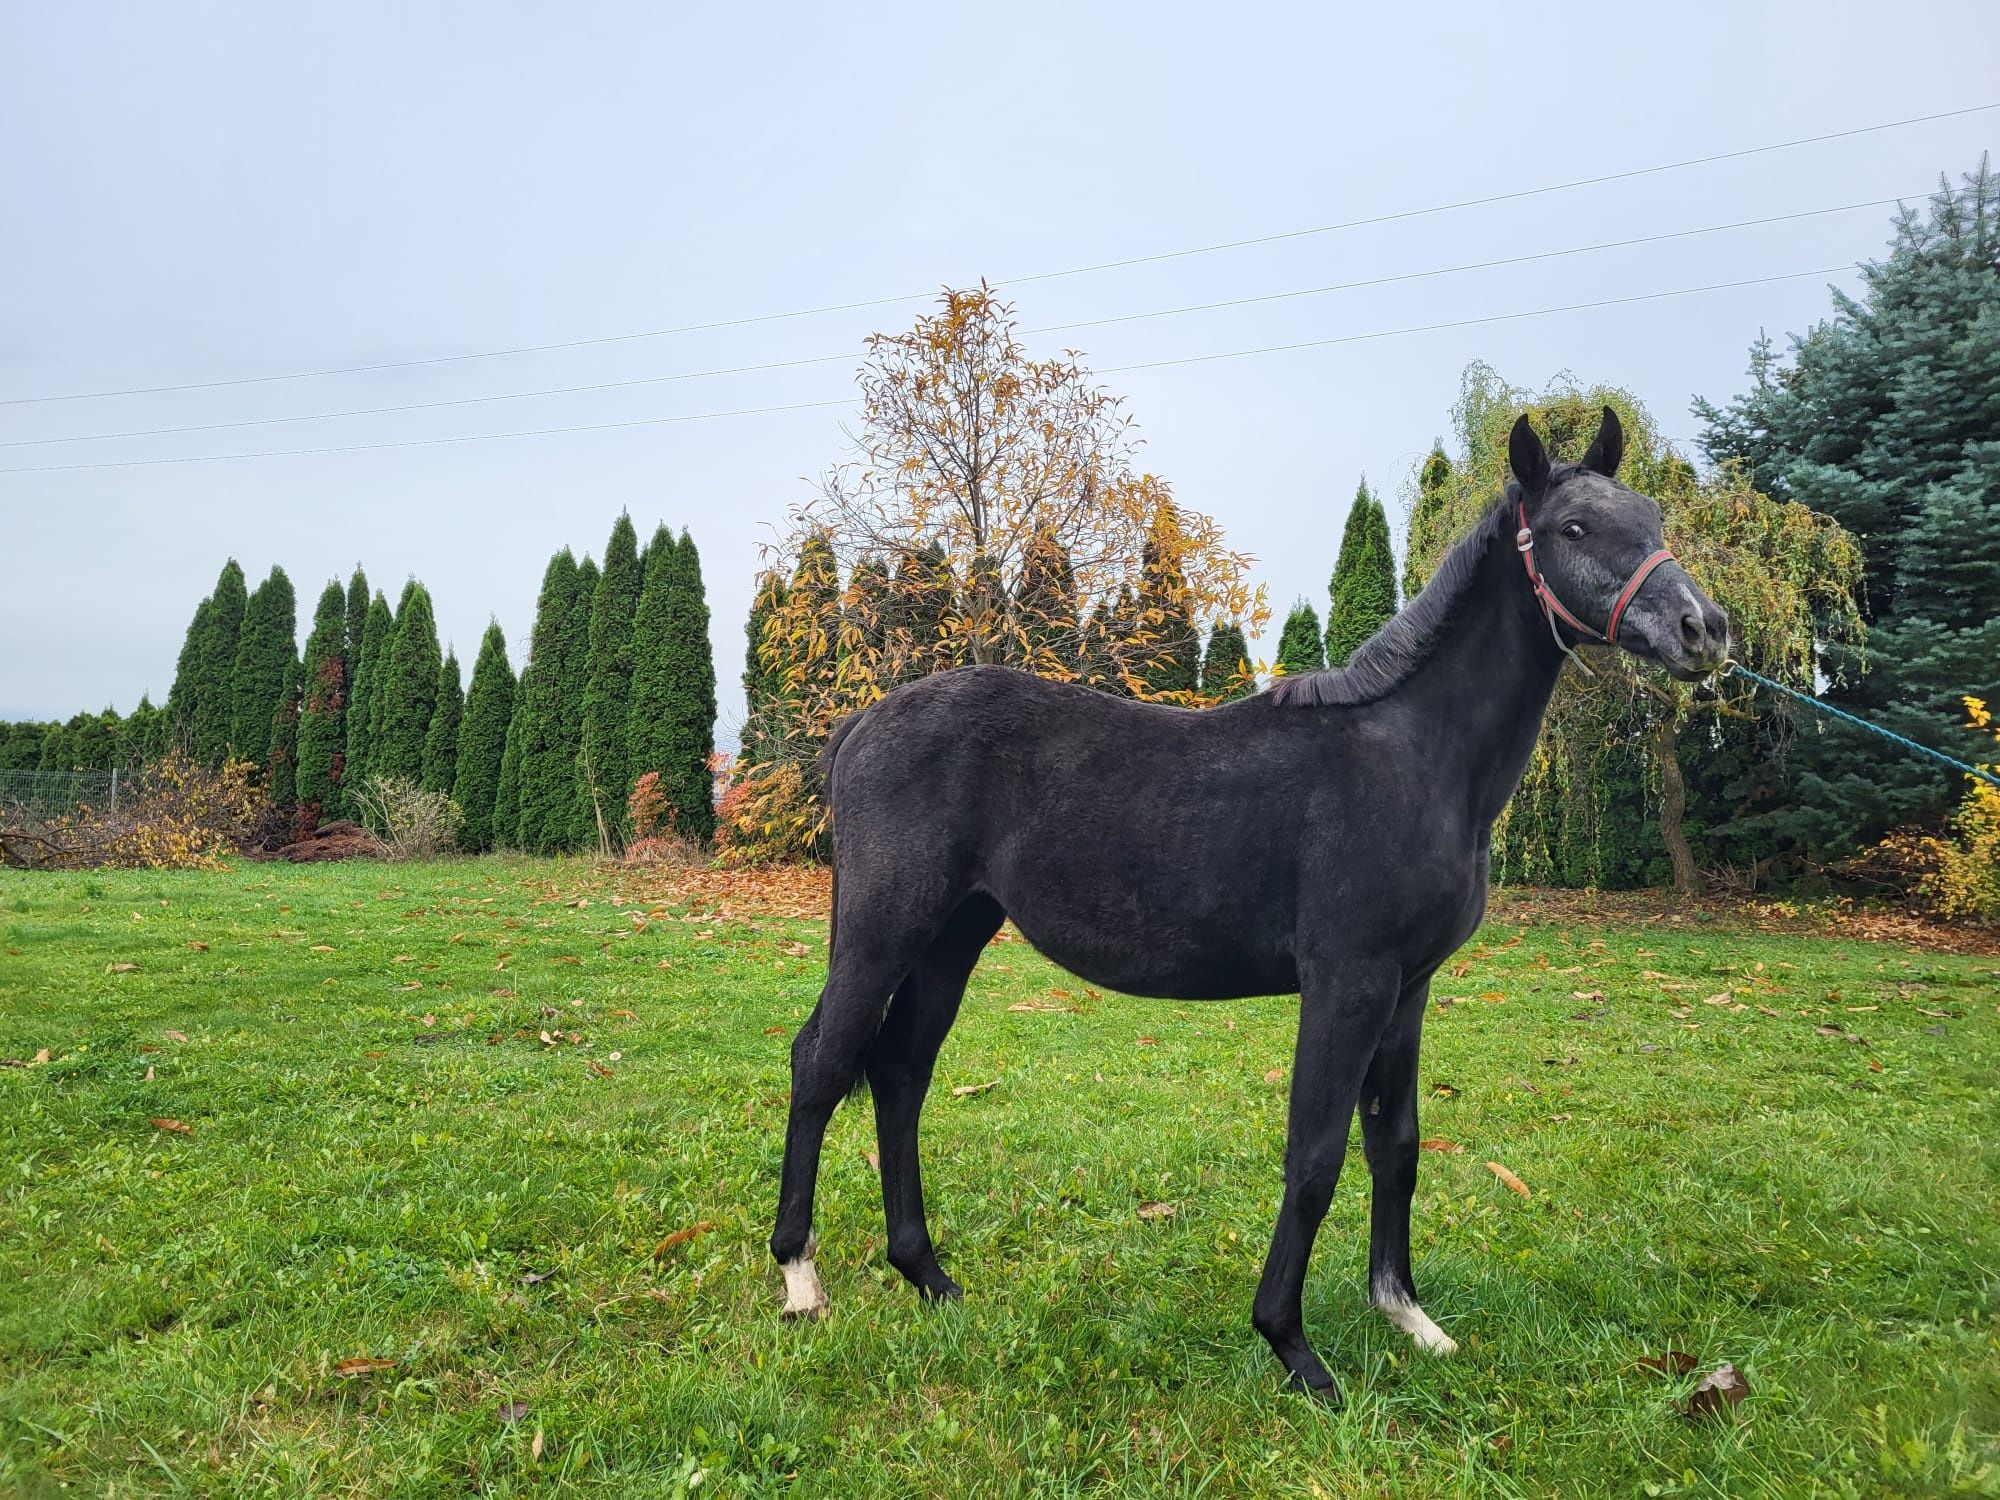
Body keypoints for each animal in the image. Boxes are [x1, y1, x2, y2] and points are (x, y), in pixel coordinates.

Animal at [772, 408, 1728, 1400]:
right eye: (1575, 528)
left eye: (1652, 518)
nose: (1705, 629)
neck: (1414, 756)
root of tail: (862, 723)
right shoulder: (1347, 983)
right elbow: (1315, 1156)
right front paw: (1293, 1347)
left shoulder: (1409, 989)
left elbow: (1397, 1145)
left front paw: (1408, 1318)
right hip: (884, 931)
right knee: (822, 1063)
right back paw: (801, 1279)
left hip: (952, 938)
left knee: (899, 1073)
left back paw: (928, 1275)